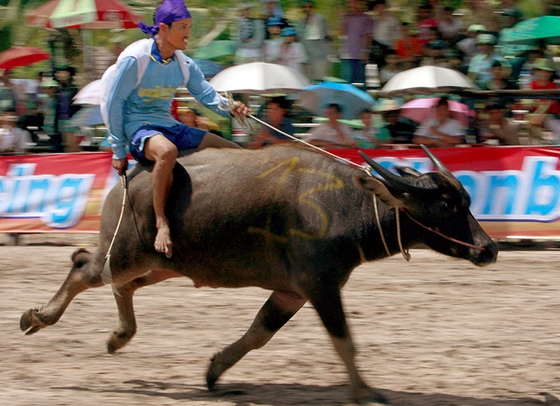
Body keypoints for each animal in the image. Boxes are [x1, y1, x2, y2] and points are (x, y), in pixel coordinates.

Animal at [19, 144, 498, 404]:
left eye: (466, 199)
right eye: (446, 205)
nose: (490, 249)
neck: (343, 205)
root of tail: (129, 174)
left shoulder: (292, 293)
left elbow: (258, 334)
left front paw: (215, 371)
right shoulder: (321, 288)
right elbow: (345, 344)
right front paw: (365, 393)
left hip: (162, 263)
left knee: (121, 285)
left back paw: (119, 336)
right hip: (125, 254)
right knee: (84, 266)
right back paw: (39, 316)